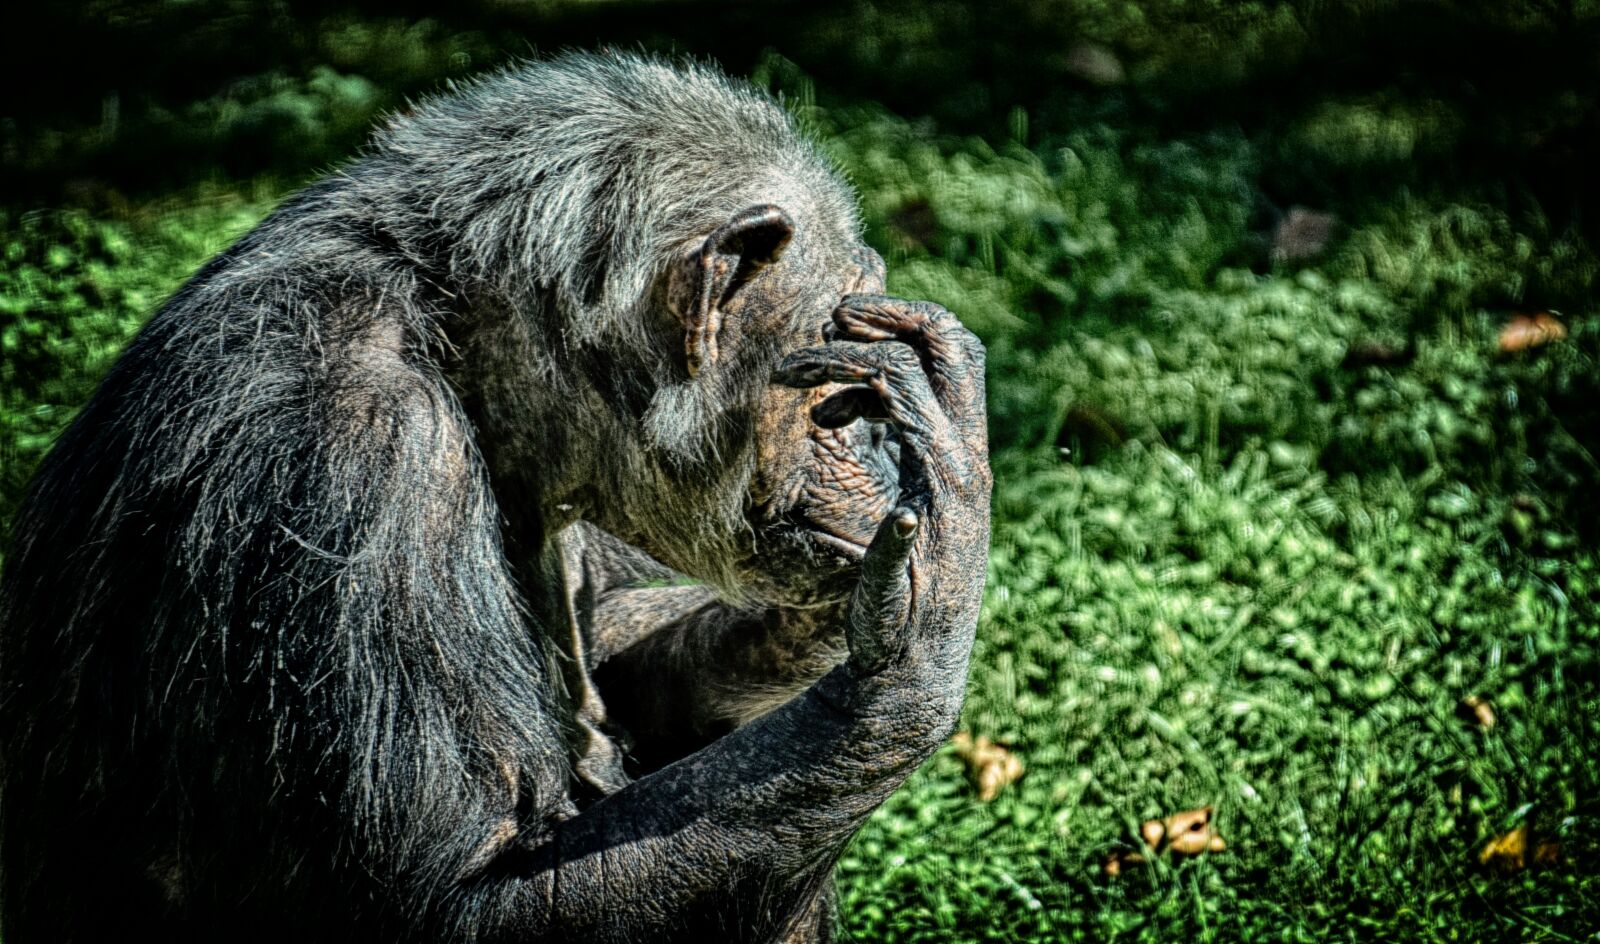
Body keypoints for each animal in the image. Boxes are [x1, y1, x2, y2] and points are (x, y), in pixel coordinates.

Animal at [0, 51, 991, 943]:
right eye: (843, 390)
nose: (877, 443)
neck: (459, 347)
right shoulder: (364, 456)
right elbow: (469, 899)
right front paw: (926, 607)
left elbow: (617, 649)